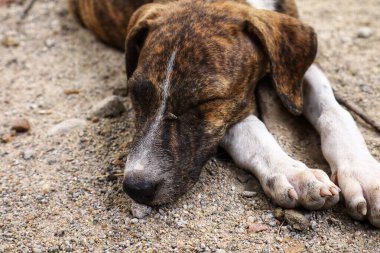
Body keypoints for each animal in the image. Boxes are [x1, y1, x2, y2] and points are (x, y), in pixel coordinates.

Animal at [68, 0, 380, 228]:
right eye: (135, 93)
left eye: (207, 100)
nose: (136, 187)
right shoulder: (234, 112)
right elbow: (252, 130)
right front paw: (293, 172)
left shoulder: (293, 70)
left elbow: (335, 112)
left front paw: (364, 175)